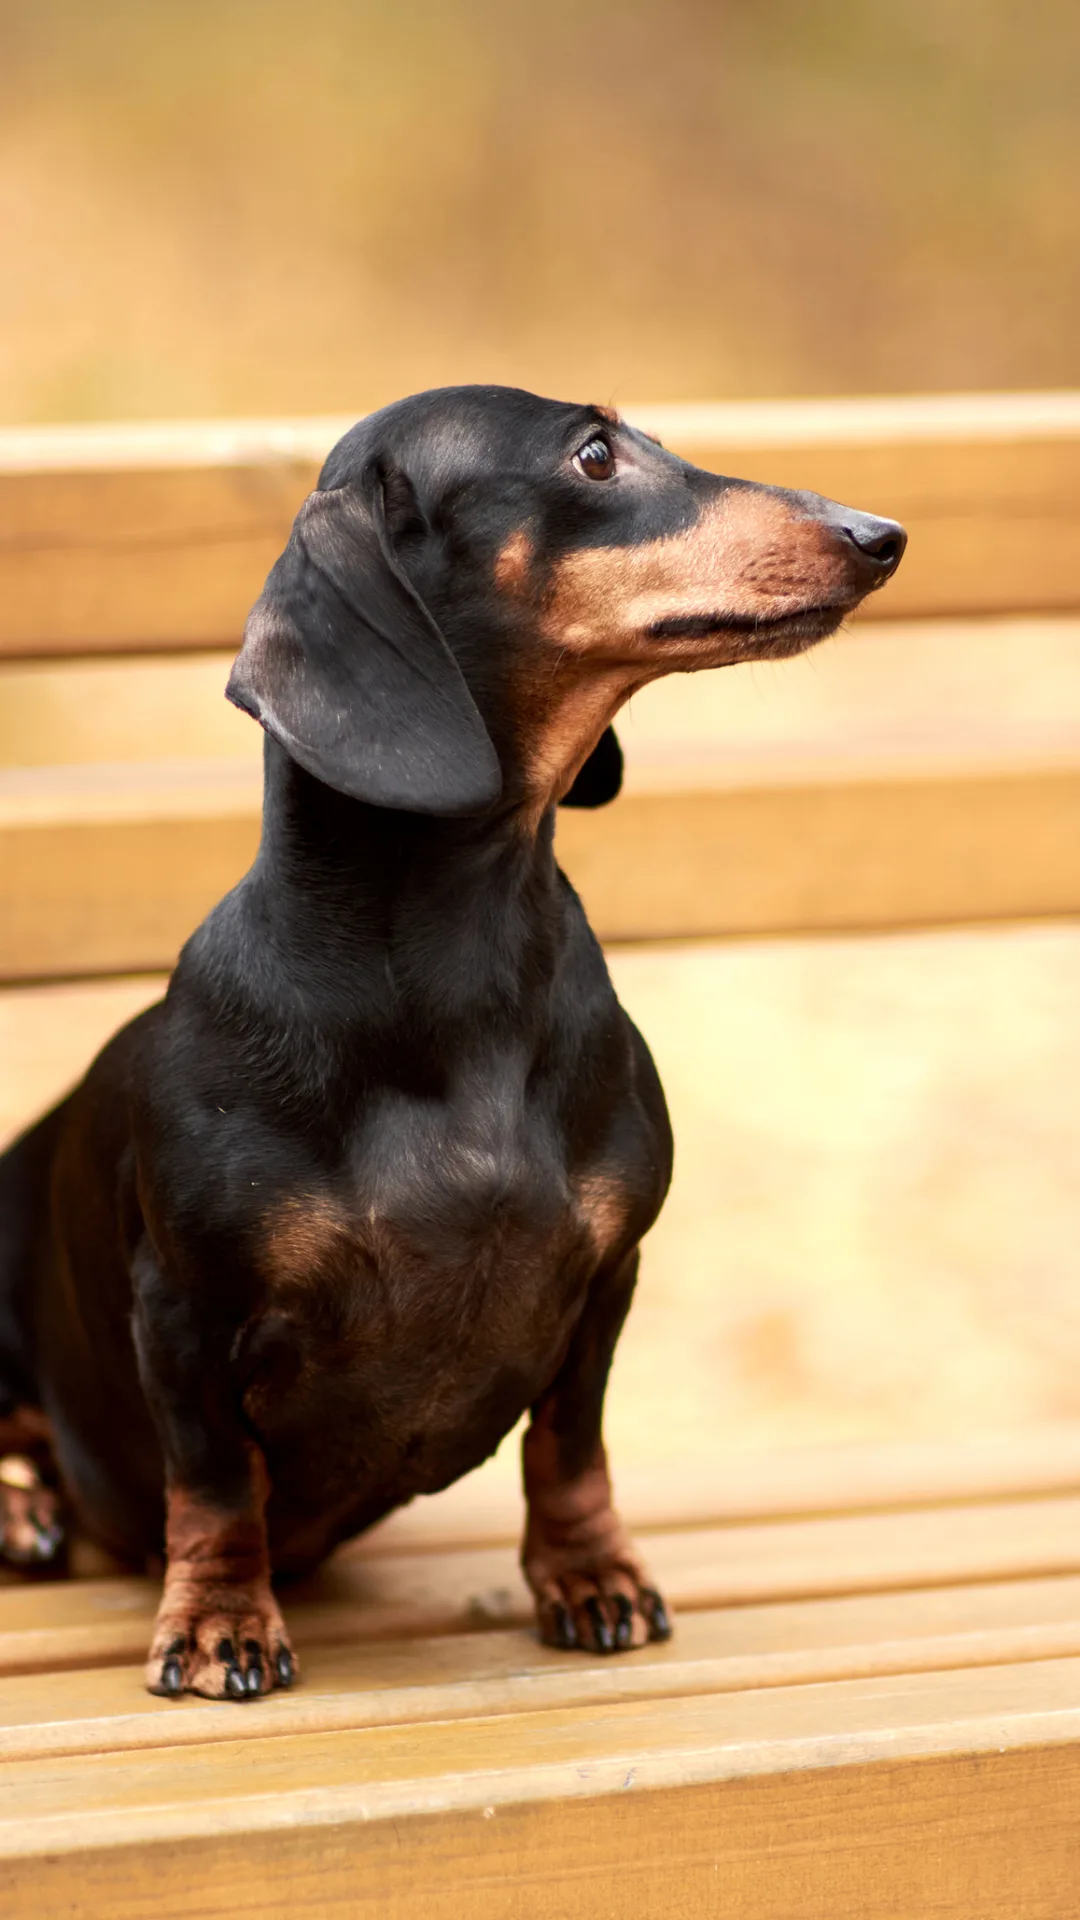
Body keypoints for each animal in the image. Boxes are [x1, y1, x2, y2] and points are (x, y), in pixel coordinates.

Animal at [0, 385, 899, 1697]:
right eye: (594, 454)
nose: (880, 535)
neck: (455, 965)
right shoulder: (183, 1310)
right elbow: (211, 1482)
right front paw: (220, 1621)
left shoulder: (605, 1281)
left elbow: (571, 1448)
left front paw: (591, 1577)